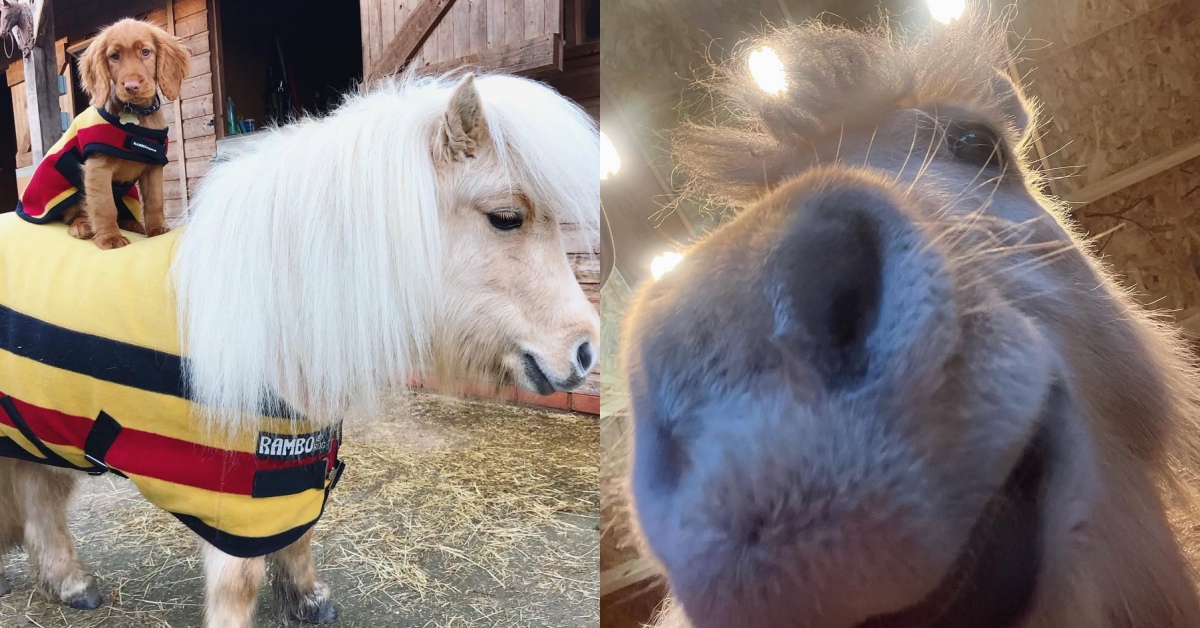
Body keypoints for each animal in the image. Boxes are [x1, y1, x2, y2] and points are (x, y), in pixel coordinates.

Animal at [0, 71, 599, 628]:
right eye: (506, 218)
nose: (586, 351)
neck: (271, 318)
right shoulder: (230, 495)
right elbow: (240, 580)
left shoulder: (292, 471)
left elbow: (300, 536)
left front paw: (308, 599)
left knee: (40, 501)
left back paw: (72, 584)